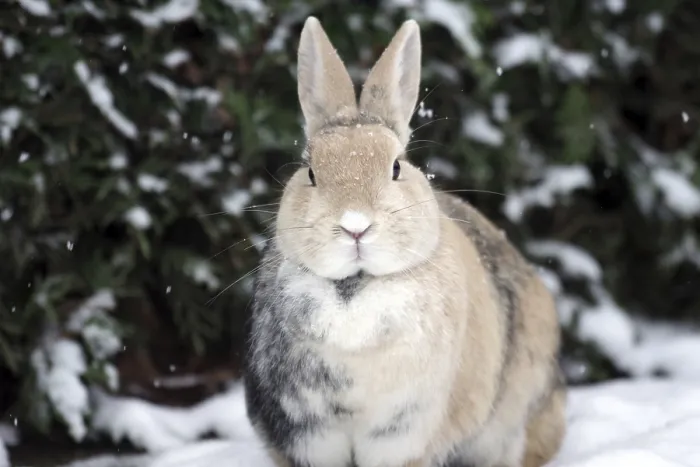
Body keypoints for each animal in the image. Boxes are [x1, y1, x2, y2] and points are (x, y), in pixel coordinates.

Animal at [243, 16, 566, 467]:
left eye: (396, 167)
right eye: (310, 172)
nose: (355, 226)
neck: (355, 290)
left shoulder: (406, 435)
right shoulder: (307, 438)